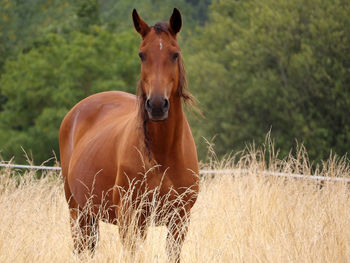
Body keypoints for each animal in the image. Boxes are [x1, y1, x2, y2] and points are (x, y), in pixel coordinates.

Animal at [60, 7, 200, 262]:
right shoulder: (131, 217)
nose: (157, 105)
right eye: (141, 55)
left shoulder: (180, 219)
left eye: (175, 54)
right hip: (77, 211)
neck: (163, 154)